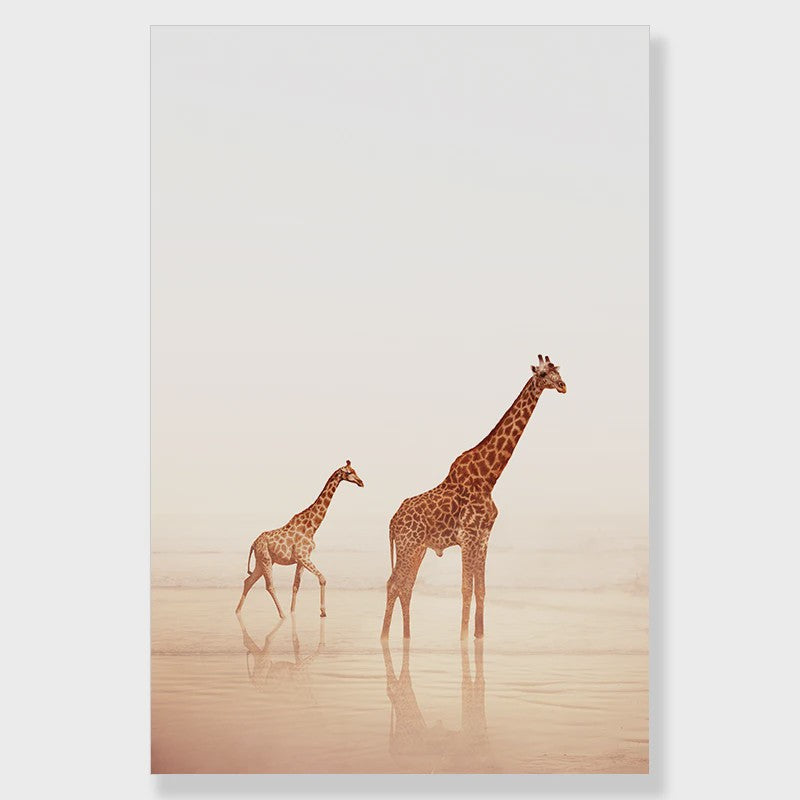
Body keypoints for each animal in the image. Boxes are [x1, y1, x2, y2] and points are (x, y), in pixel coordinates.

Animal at [235, 460, 364, 617]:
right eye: (349, 472)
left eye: (355, 470)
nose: (361, 482)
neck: (313, 526)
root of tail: (253, 544)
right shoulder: (303, 556)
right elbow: (322, 578)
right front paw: (323, 611)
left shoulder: (301, 560)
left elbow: (296, 586)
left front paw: (293, 611)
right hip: (266, 560)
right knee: (269, 585)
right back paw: (282, 614)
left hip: (262, 561)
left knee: (248, 581)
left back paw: (238, 611)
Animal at [380, 355, 567, 640]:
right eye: (544, 373)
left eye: (558, 371)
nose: (563, 386)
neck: (489, 478)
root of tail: (392, 521)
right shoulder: (467, 537)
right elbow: (466, 589)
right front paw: (463, 638)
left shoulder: (483, 538)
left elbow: (481, 589)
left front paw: (479, 635)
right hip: (407, 545)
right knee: (395, 584)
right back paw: (385, 637)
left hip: (417, 548)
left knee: (404, 585)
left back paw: (405, 636)